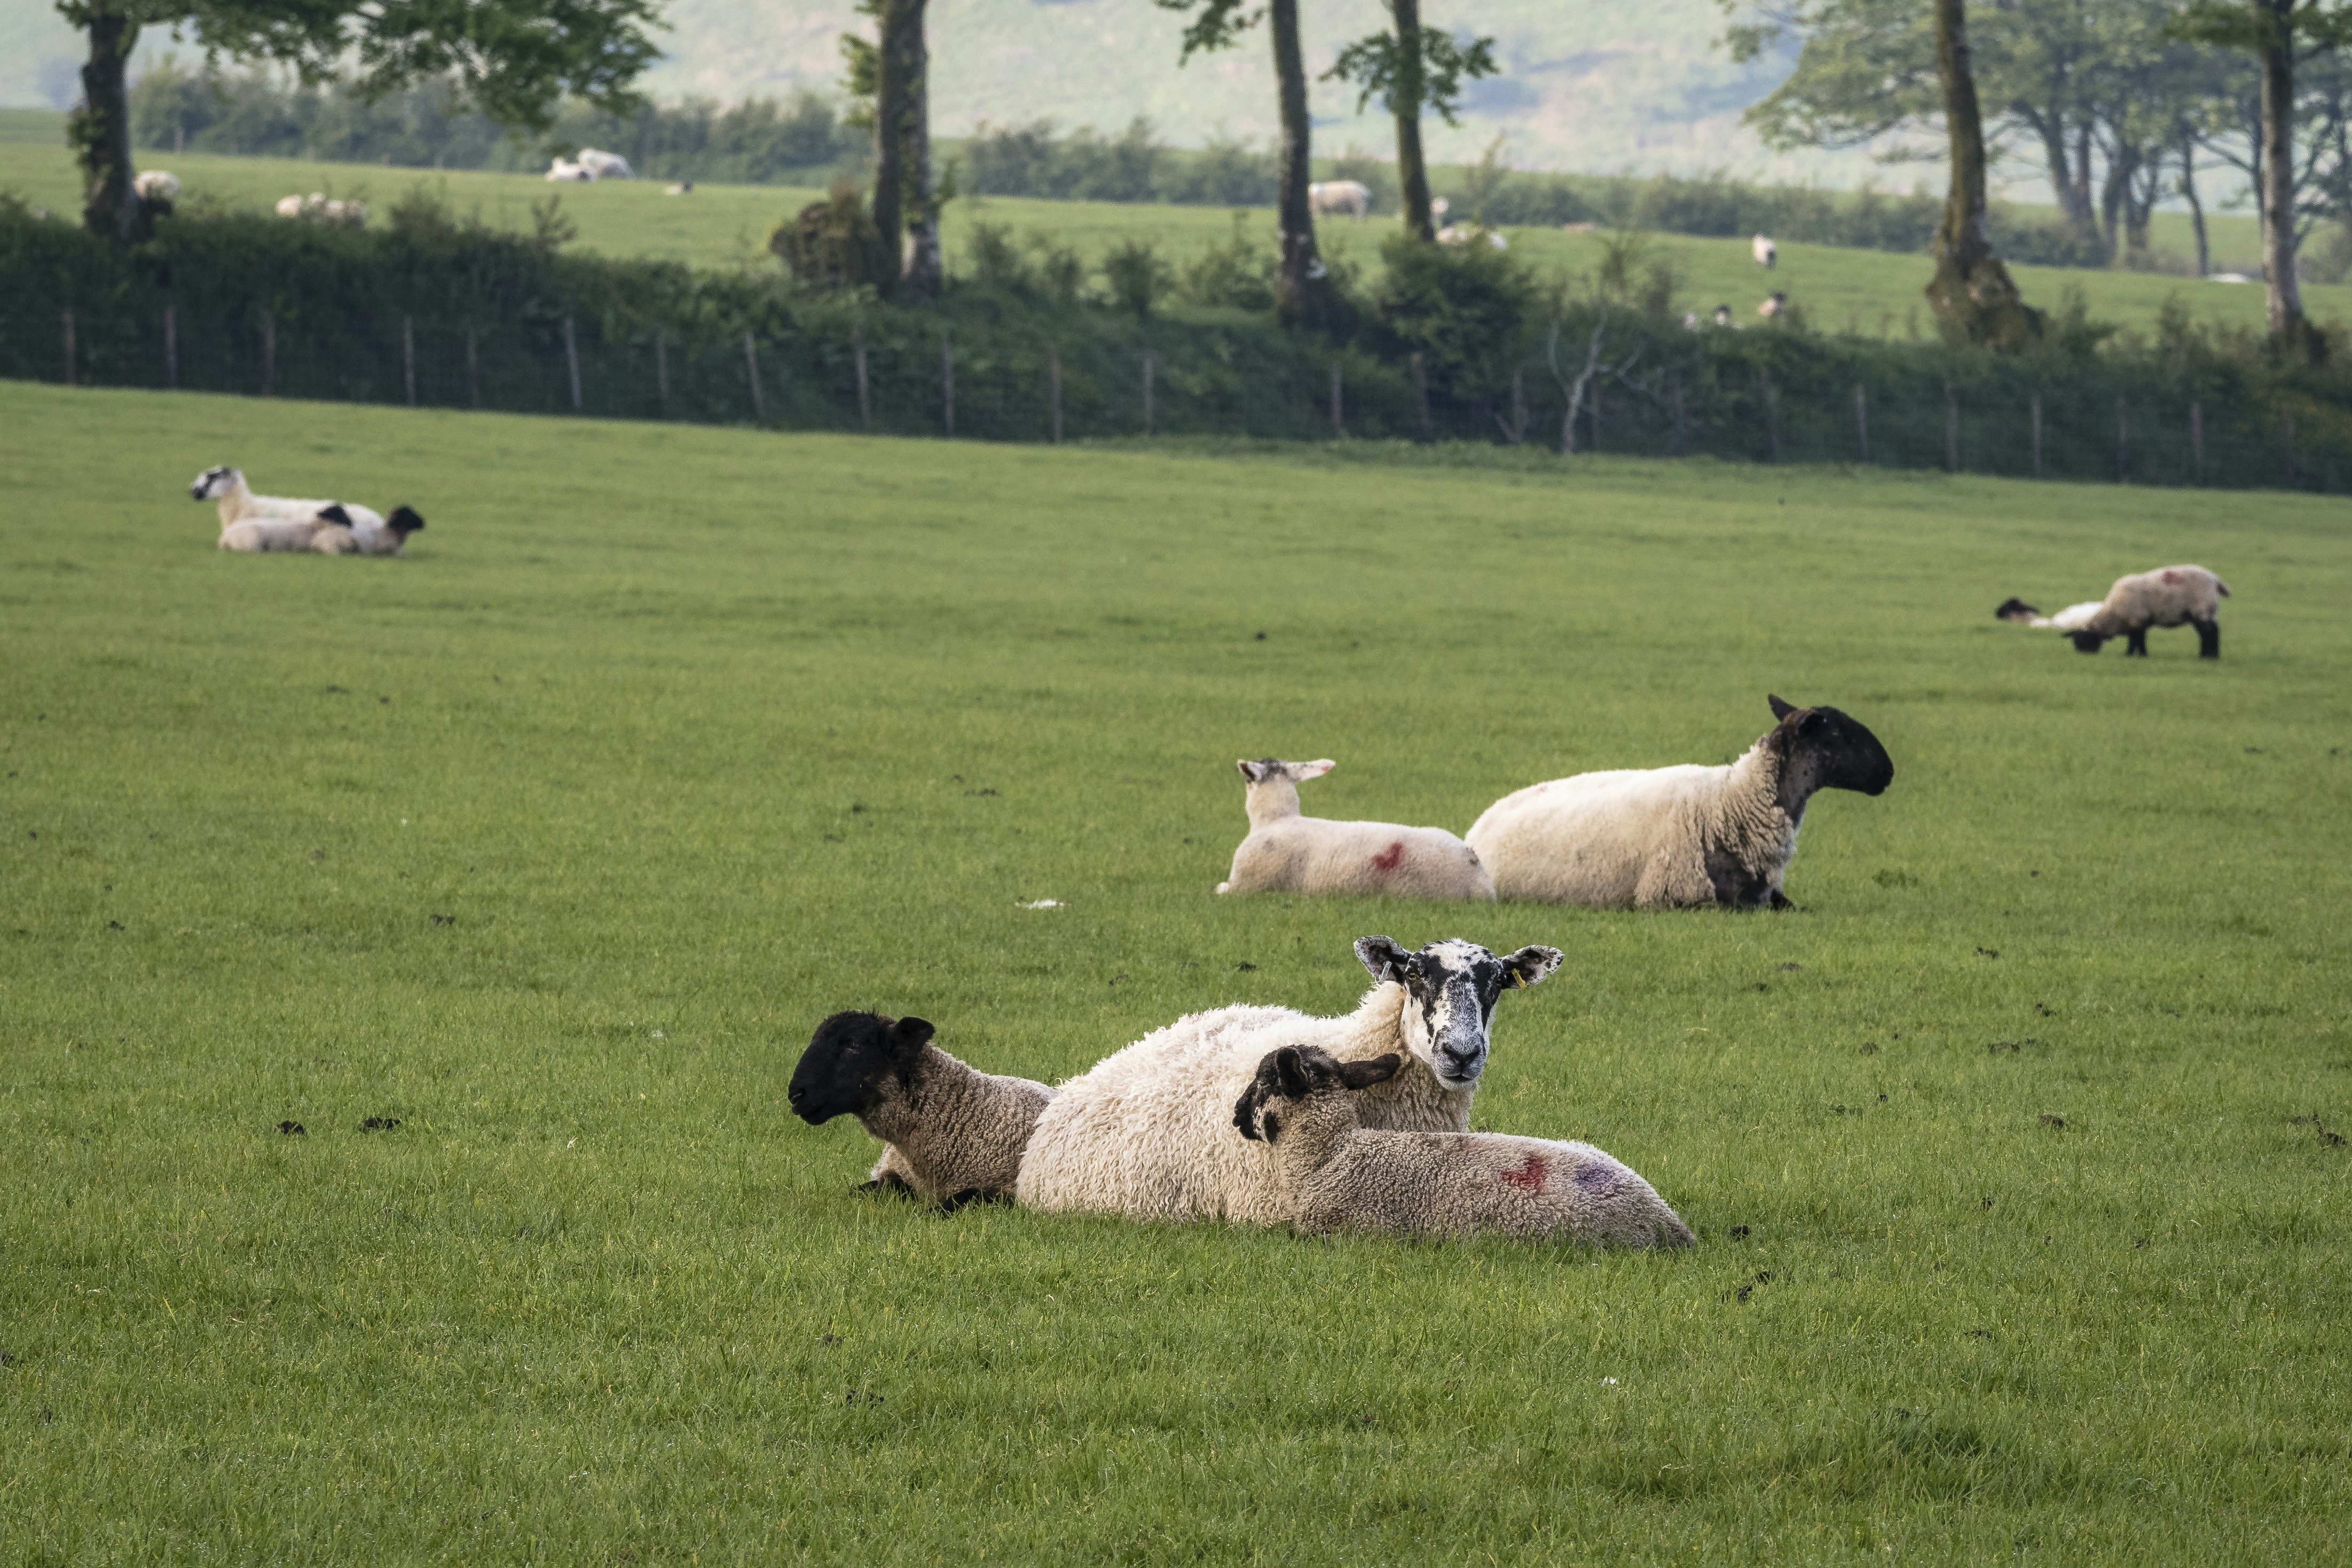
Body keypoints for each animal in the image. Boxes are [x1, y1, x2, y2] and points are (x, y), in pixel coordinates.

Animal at [790, 1011, 1054, 1210]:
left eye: (853, 1045)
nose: (795, 1095)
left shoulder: (1004, 1190)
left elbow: (951, 1204)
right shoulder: (893, 1172)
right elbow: (863, 1190)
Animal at [2061, 565, 2230, 657]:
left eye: (2083, 641)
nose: (2082, 655)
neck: (2114, 615)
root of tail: (2216, 581)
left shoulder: (2136, 618)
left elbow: (2135, 639)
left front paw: (2130, 655)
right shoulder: (2140, 621)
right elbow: (2140, 638)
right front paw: (2142, 655)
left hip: (2202, 609)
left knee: (2210, 632)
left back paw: (2210, 657)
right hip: (2203, 612)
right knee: (2208, 633)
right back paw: (2208, 655)